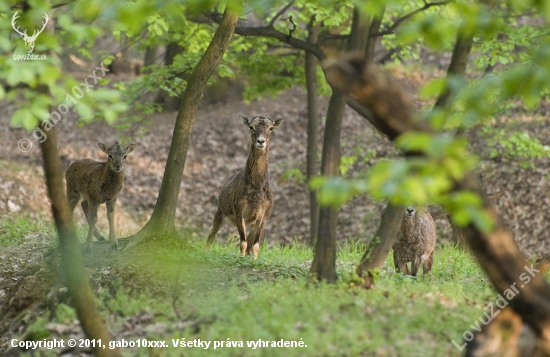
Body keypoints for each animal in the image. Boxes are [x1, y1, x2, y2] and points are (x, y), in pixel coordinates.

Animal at [207, 115, 284, 258]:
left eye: (271, 128)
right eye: (251, 127)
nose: (261, 141)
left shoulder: (264, 214)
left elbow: (255, 245)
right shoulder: (239, 209)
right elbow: (242, 243)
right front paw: (240, 259)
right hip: (220, 210)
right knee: (211, 235)